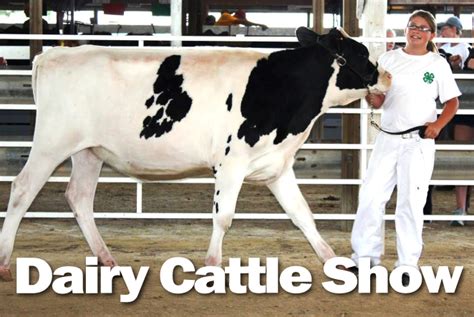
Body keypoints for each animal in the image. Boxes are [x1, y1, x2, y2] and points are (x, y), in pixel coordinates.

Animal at [0, 27, 388, 278]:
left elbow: (303, 215)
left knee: (79, 197)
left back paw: (107, 260)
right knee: (22, 190)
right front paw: (212, 266)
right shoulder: (231, 163)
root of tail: (55, 53)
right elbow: (224, 217)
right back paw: (5, 262)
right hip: (52, 143)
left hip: (88, 151)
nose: (387, 77)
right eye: (363, 54)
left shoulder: (276, 167)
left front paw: (335, 262)